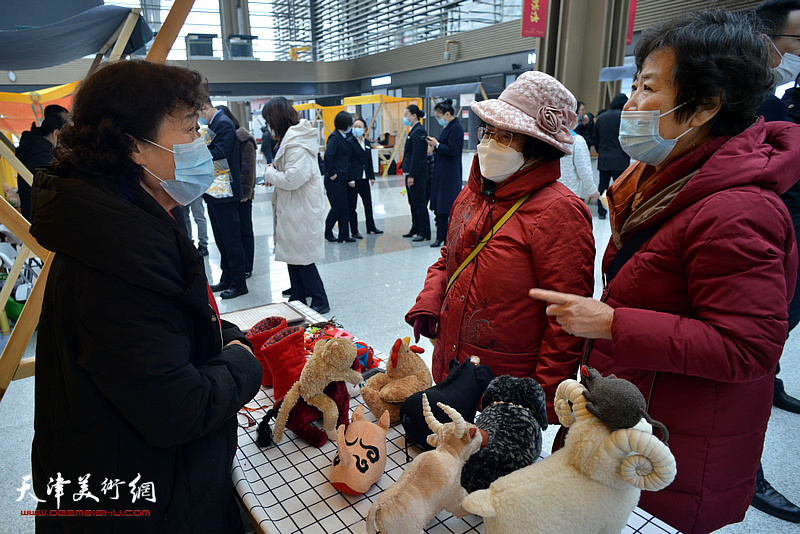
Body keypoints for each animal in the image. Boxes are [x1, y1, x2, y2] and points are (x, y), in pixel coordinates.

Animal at [364, 394, 488, 534]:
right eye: (474, 432)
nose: (483, 434)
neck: (448, 452)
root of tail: (378, 508)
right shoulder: (455, 496)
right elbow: (462, 506)